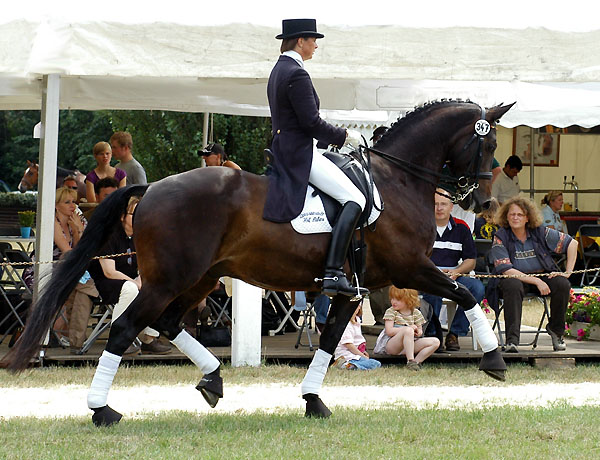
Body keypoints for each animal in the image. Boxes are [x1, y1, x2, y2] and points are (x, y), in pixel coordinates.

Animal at [4, 99, 512, 424]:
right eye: (486, 146)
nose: (484, 203)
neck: (395, 180)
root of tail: (150, 189)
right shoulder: (410, 266)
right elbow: (465, 293)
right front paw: (494, 359)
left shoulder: (358, 286)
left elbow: (331, 337)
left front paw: (313, 401)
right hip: (168, 280)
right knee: (128, 328)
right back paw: (103, 411)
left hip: (199, 279)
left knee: (168, 323)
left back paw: (212, 380)